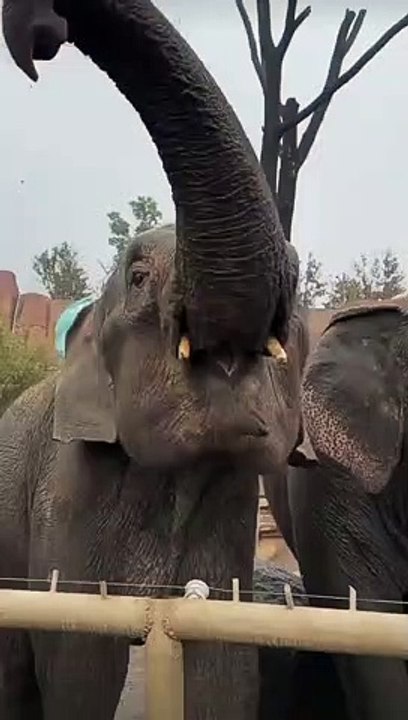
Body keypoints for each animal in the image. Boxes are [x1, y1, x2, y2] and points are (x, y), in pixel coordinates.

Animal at [1, 1, 309, 719]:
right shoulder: (66, 491)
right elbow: (80, 663)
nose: (40, 37)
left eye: (296, 268)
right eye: (138, 277)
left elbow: (224, 664)